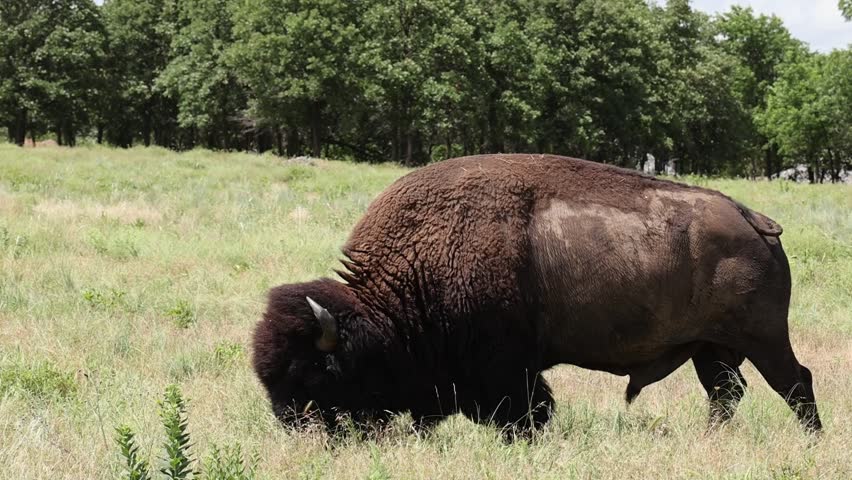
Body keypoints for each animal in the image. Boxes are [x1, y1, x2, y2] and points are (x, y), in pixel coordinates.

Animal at [252, 154, 822, 434]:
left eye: (317, 372)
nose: (296, 429)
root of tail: (754, 219)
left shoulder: (508, 368)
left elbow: (527, 410)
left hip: (764, 338)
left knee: (795, 383)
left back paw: (810, 439)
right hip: (711, 348)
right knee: (726, 393)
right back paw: (711, 438)